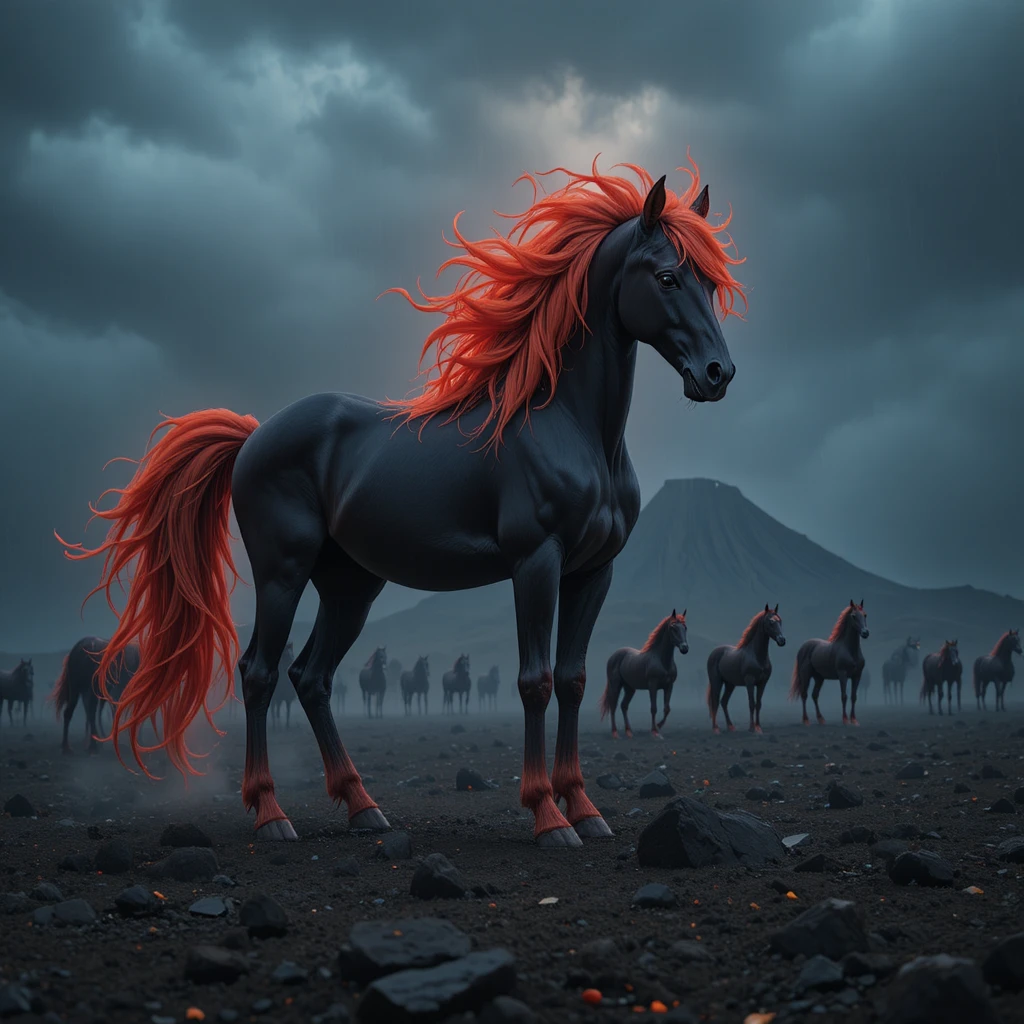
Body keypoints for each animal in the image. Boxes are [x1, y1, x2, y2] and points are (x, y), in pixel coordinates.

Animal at [600, 610, 688, 739]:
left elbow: (667, 708)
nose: (684, 648)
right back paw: (615, 733)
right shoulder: (653, 685)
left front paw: (659, 725)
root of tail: (614, 656)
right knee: (613, 705)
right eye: (673, 627)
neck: (661, 660)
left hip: (630, 688)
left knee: (624, 705)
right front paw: (655, 731)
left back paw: (629, 732)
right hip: (615, 685)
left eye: (685, 627)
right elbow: (653, 708)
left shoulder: (669, 686)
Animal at [706, 603, 786, 734]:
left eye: (780, 621)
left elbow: (759, 704)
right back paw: (715, 728)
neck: (757, 656)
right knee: (715, 701)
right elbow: (751, 703)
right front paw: (752, 728)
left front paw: (758, 727)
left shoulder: (762, 683)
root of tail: (714, 652)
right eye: (770, 621)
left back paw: (731, 727)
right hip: (716, 681)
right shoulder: (750, 681)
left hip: (730, 684)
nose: (782, 640)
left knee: (724, 701)